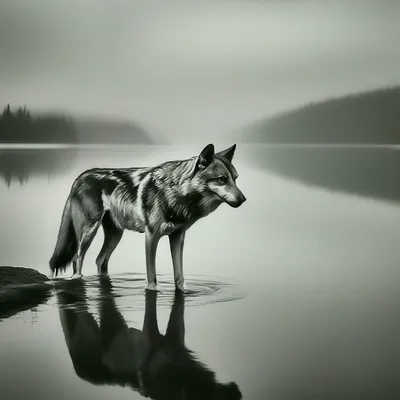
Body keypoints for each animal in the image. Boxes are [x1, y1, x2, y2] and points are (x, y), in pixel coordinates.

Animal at [48, 144, 245, 290]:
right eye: (222, 179)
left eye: (235, 178)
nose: (243, 199)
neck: (176, 194)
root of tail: (80, 177)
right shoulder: (151, 236)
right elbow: (152, 278)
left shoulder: (177, 237)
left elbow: (179, 277)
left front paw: (183, 292)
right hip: (88, 233)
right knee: (77, 260)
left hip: (115, 235)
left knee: (100, 260)